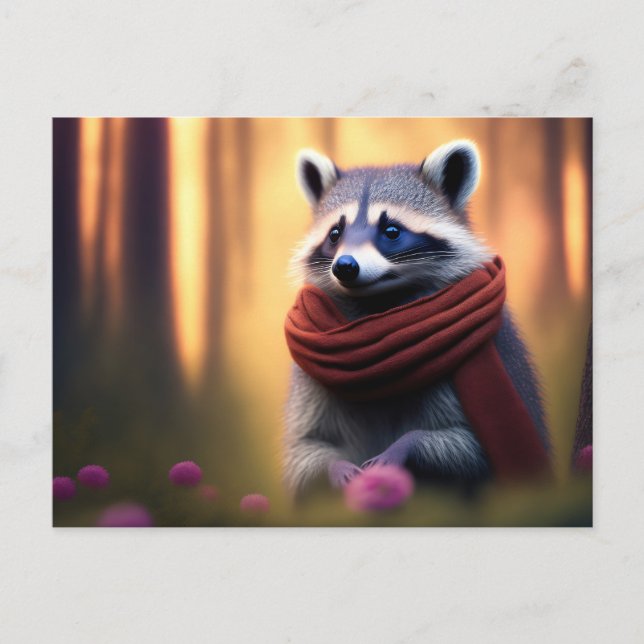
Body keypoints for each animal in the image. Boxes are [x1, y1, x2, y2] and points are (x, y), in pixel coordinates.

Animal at [283, 140, 549, 496]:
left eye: (391, 231)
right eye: (335, 234)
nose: (345, 266)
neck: (379, 309)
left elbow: (474, 448)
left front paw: (406, 446)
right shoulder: (308, 380)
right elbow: (303, 448)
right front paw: (334, 466)